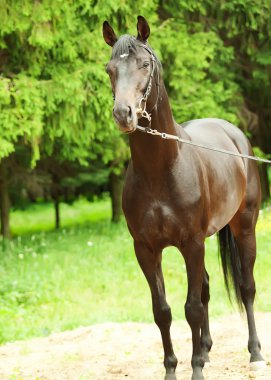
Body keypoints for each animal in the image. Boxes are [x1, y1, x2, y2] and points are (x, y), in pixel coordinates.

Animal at [102, 15, 266, 380]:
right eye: (109, 69)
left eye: (145, 64)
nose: (123, 114)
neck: (161, 170)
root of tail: (234, 134)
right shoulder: (146, 249)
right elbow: (163, 310)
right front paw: (174, 369)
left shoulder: (191, 243)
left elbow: (192, 308)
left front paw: (196, 371)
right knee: (205, 289)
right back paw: (204, 350)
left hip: (244, 227)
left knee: (246, 288)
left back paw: (255, 353)